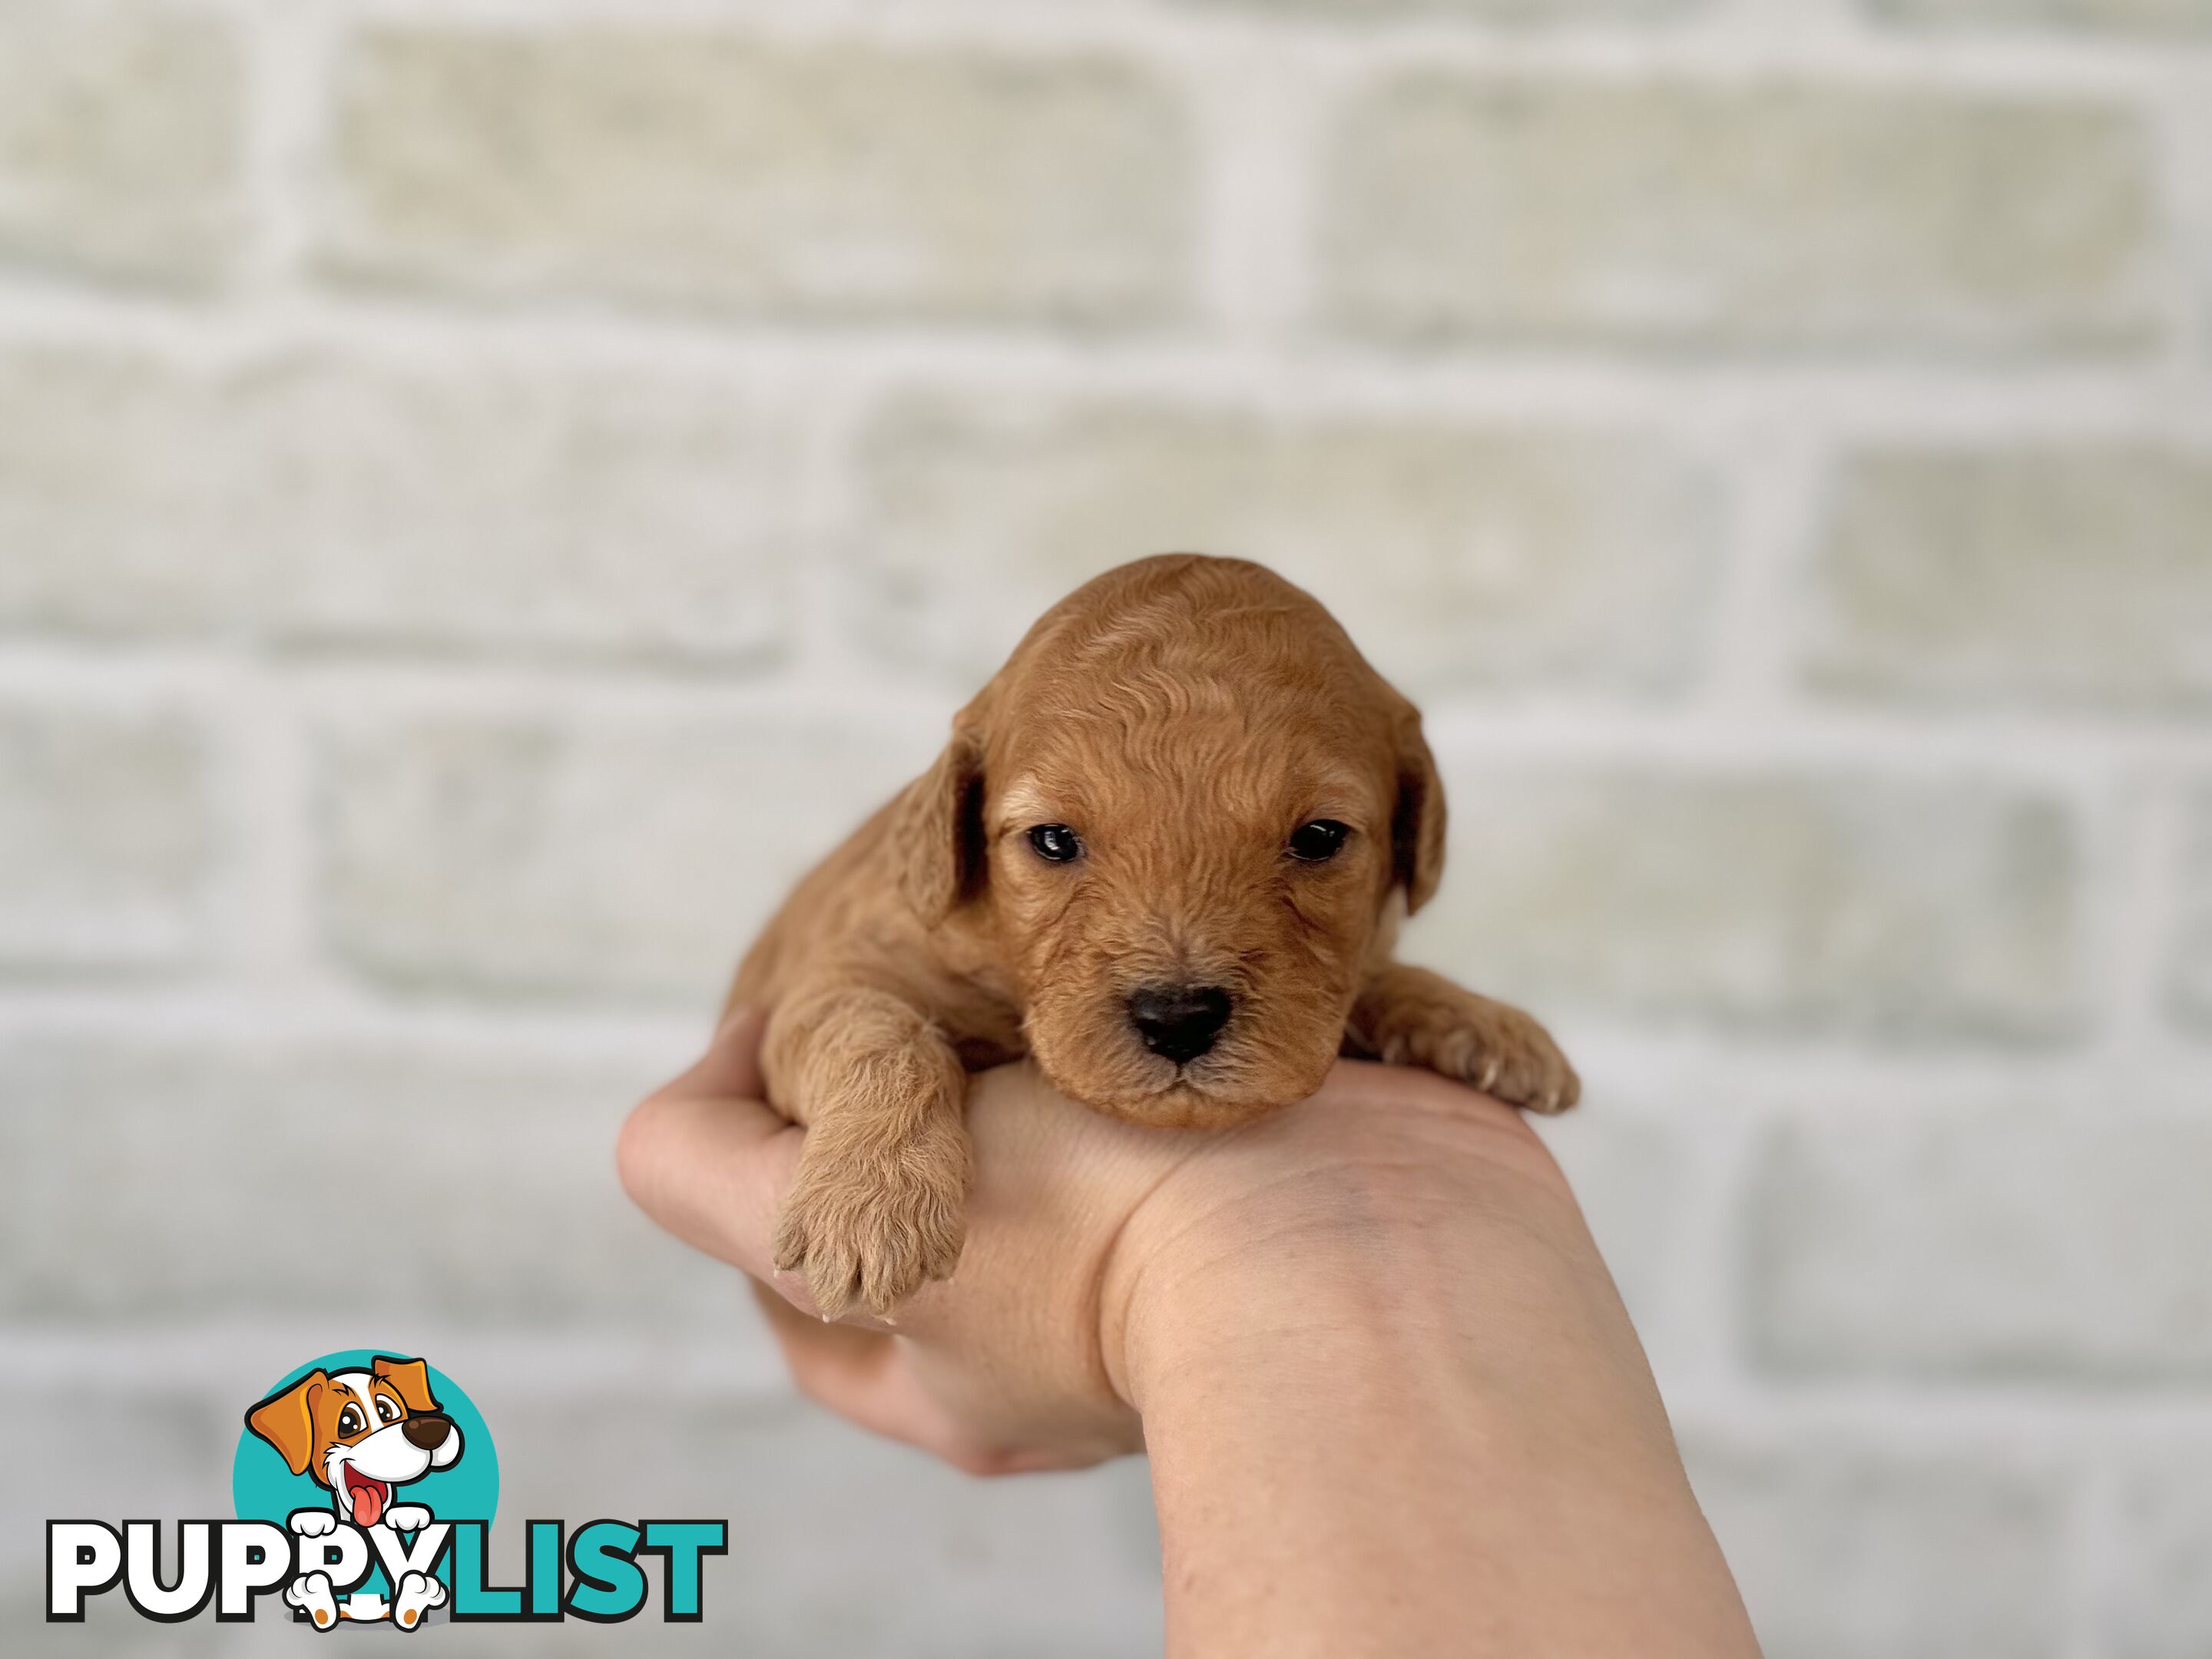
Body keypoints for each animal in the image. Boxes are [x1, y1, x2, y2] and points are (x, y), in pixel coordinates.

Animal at [734, 559, 1584, 1327]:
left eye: (1319, 838)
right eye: (1052, 840)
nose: (1178, 1019)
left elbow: (1374, 977)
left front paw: (1485, 1024)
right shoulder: (828, 979)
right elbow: (877, 1029)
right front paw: (871, 1204)